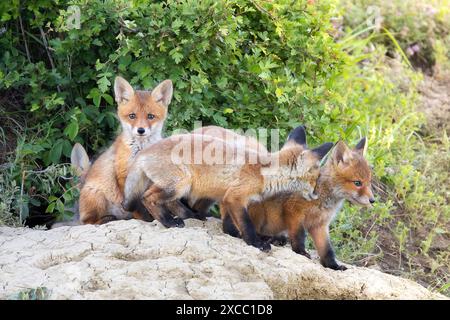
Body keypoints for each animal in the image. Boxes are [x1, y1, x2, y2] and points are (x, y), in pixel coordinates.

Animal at [73, 76, 173, 224]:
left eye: (150, 116)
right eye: (132, 116)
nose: (141, 130)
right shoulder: (123, 175)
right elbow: (134, 205)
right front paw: (144, 219)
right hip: (96, 195)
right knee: (88, 222)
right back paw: (106, 219)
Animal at [121, 126, 332, 251]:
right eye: (316, 179)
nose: (316, 195)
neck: (263, 171)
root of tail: (144, 152)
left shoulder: (227, 199)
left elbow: (231, 225)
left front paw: (239, 235)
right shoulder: (235, 197)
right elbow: (246, 224)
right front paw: (256, 242)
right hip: (180, 184)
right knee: (147, 198)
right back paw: (168, 222)